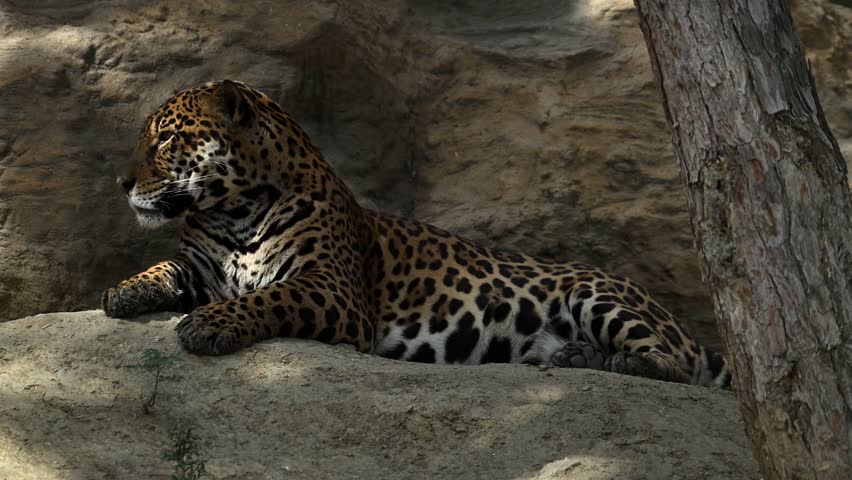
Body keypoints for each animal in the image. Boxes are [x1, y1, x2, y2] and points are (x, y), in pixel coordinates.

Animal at [102, 80, 731, 388]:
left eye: (165, 139)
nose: (122, 181)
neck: (234, 211)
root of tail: (680, 323)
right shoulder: (200, 266)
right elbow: (164, 268)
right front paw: (123, 291)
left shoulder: (332, 289)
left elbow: (270, 296)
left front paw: (210, 324)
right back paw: (576, 357)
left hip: (601, 296)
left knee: (676, 369)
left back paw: (618, 363)